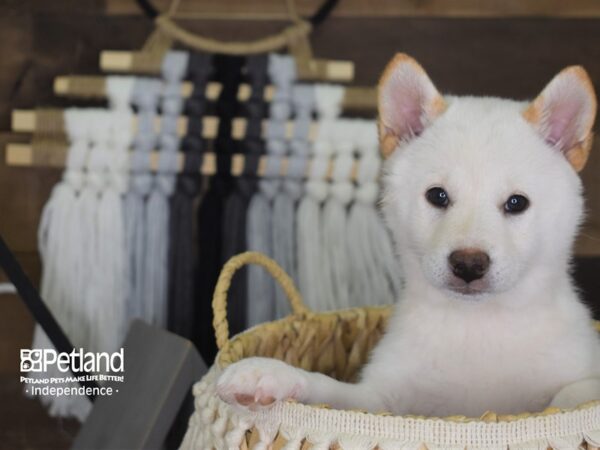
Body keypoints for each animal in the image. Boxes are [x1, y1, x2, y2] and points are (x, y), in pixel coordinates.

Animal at [217, 54, 600, 416]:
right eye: (437, 196)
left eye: (517, 203)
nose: (469, 264)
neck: (476, 324)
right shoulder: (378, 401)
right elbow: (332, 389)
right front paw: (273, 374)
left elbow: (573, 393)